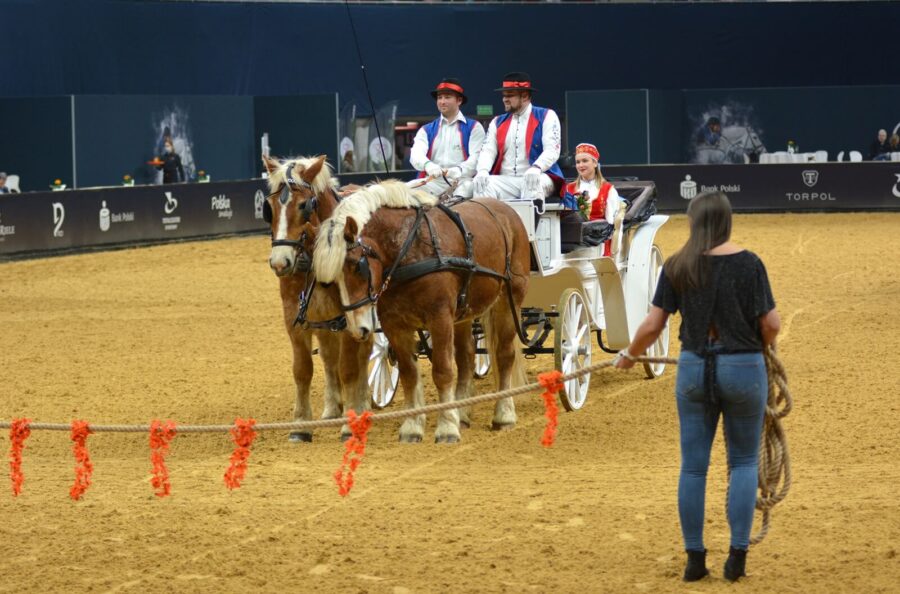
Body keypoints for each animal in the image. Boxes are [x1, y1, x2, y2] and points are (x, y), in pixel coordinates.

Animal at [262, 154, 370, 440]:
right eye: (269, 208)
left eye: (304, 205)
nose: (280, 262)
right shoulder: (295, 318)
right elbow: (303, 370)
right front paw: (300, 425)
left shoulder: (350, 317)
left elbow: (349, 369)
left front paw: (349, 424)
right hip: (322, 321)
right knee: (329, 358)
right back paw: (333, 407)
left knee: (364, 355)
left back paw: (363, 404)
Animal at [312, 183, 532, 442]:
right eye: (329, 281)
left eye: (358, 266)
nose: (358, 328)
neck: (408, 250)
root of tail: (506, 210)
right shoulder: (394, 324)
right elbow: (409, 373)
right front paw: (413, 426)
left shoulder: (440, 318)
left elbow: (443, 370)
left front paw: (446, 428)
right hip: (464, 312)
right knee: (466, 357)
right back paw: (462, 413)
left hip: (509, 300)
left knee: (504, 355)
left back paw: (503, 414)